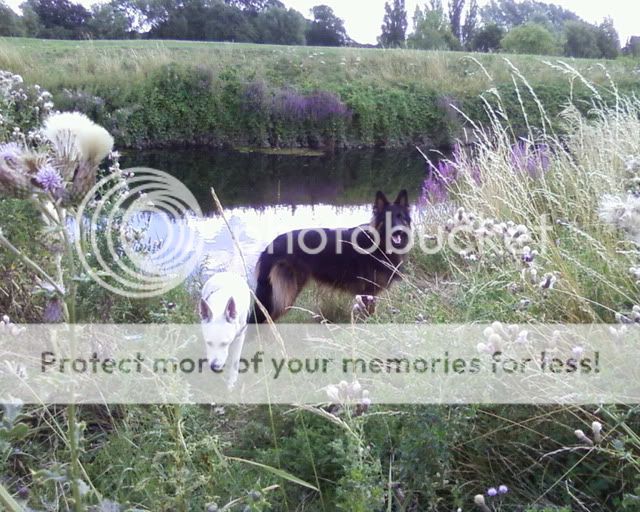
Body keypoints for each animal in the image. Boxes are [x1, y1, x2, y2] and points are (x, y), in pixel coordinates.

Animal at [249, 190, 411, 323]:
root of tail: (269, 247)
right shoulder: (368, 293)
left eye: (401, 217)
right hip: (284, 295)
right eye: (388, 219)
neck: (378, 244)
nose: (399, 232)